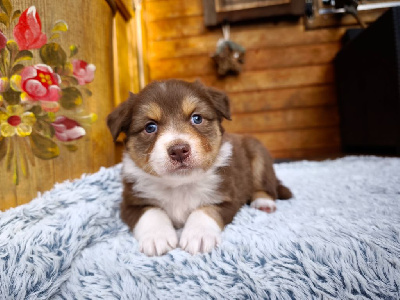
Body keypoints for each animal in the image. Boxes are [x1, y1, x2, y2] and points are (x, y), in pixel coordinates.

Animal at [108, 79, 292, 255]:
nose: (179, 150)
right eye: (150, 127)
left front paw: (199, 236)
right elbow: (152, 212)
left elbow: (205, 210)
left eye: (196, 118)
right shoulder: (130, 203)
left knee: (266, 187)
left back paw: (263, 203)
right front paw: (156, 237)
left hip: (258, 155)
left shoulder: (227, 197)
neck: (179, 185)